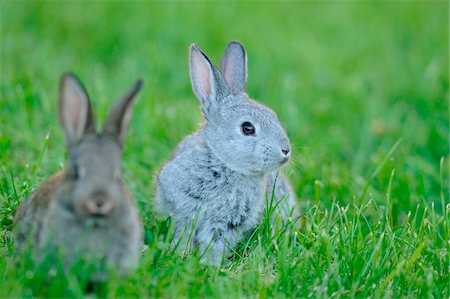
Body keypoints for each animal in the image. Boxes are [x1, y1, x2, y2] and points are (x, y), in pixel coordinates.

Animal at [156, 41, 298, 264]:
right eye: (247, 128)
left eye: (274, 116)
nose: (286, 151)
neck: (222, 163)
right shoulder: (183, 211)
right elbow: (184, 233)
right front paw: (179, 254)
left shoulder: (227, 222)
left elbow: (215, 242)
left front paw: (209, 265)